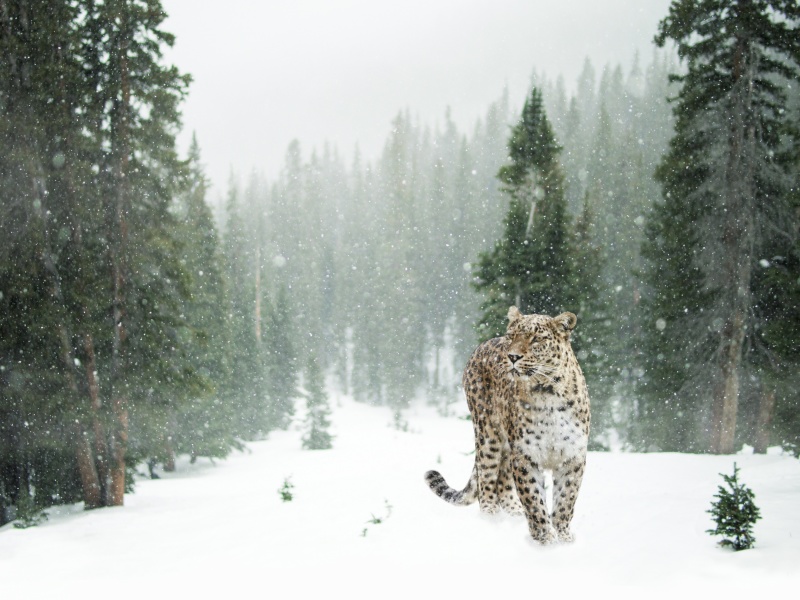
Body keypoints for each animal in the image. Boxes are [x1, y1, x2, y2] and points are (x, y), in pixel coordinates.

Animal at [424, 304, 588, 544]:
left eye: (536, 339)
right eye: (512, 336)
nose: (512, 356)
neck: (547, 393)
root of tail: (483, 344)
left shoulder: (572, 456)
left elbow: (566, 500)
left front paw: (564, 538)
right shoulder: (525, 456)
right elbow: (534, 501)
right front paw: (545, 540)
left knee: (502, 481)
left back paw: (513, 514)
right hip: (488, 435)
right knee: (487, 480)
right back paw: (491, 520)